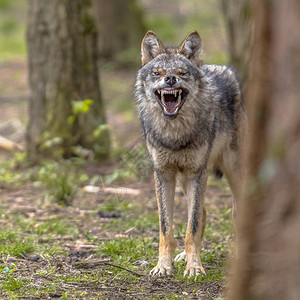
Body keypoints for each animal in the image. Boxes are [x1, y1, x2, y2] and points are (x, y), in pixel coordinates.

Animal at [135, 30, 247, 276]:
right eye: (157, 73)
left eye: (182, 72)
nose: (170, 79)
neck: (175, 133)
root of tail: (224, 68)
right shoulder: (163, 174)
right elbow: (167, 228)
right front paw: (164, 266)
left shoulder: (197, 172)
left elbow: (192, 226)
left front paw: (195, 267)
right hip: (185, 180)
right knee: (202, 213)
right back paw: (183, 256)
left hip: (232, 171)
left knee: (236, 211)